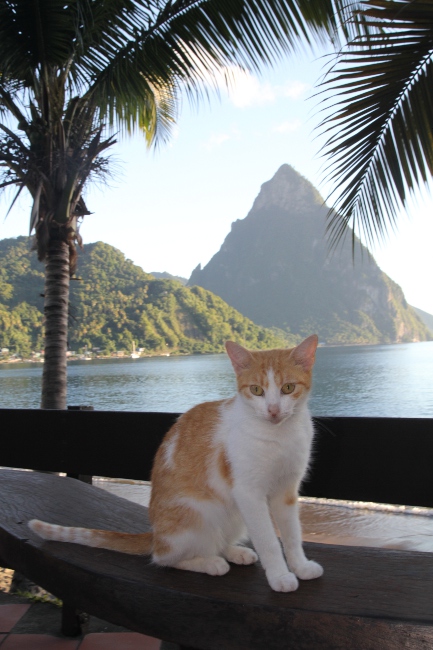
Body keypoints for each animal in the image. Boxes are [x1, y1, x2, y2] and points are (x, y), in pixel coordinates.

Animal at [29, 334, 323, 592]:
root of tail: (155, 534)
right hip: (198, 514)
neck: (279, 436)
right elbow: (269, 540)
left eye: (288, 388)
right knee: (165, 558)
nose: (273, 410)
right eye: (256, 390)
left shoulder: (286, 491)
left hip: (235, 515)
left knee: (215, 541)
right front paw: (280, 577)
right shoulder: (249, 493)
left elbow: (292, 535)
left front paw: (300, 567)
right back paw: (210, 562)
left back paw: (233, 551)